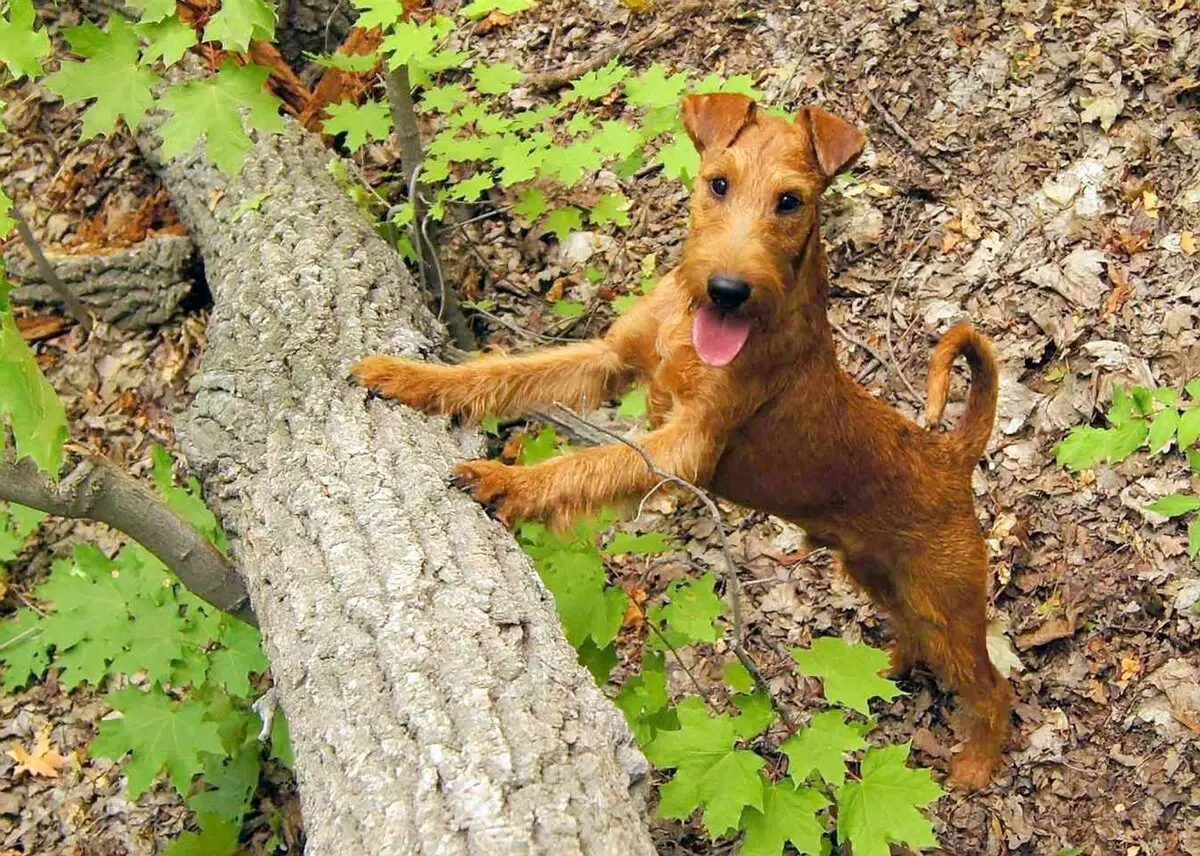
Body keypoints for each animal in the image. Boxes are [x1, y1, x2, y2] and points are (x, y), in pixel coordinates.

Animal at [352, 95, 1012, 787]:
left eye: (790, 201)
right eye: (717, 183)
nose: (727, 289)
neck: (691, 326)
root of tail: (950, 455)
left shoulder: (686, 445)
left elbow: (589, 462)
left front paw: (507, 480)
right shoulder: (609, 359)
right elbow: (505, 374)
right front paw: (410, 377)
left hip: (944, 597)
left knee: (993, 685)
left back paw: (977, 764)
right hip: (875, 572)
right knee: (912, 630)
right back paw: (887, 668)